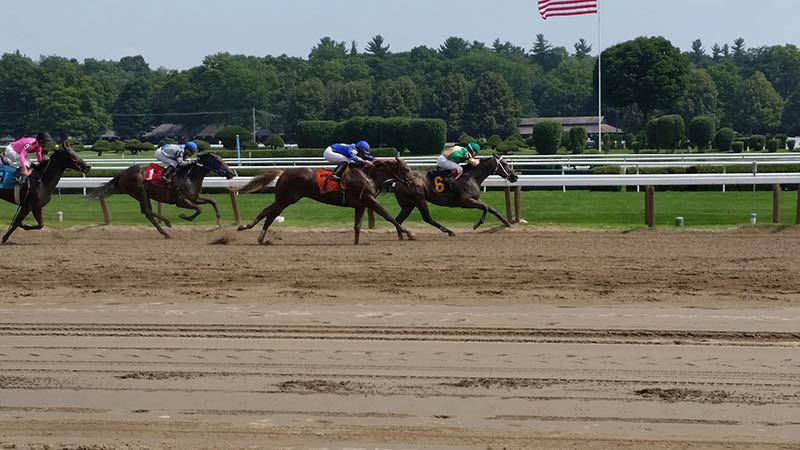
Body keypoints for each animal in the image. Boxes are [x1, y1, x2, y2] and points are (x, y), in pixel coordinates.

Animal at [89, 153, 238, 239]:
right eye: (219, 162)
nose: (231, 173)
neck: (190, 177)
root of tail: (123, 173)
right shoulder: (180, 201)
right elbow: (199, 209)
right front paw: (184, 216)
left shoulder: (194, 198)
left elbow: (212, 201)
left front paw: (219, 221)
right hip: (140, 191)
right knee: (147, 211)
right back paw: (167, 224)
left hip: (141, 194)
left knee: (147, 212)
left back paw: (165, 231)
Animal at [231, 156, 418, 244]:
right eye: (406, 169)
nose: (414, 183)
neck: (368, 175)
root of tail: (283, 172)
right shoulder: (370, 200)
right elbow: (389, 216)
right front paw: (409, 233)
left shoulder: (360, 204)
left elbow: (357, 226)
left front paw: (356, 243)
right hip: (286, 199)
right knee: (270, 214)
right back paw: (255, 233)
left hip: (284, 199)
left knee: (267, 212)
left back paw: (252, 232)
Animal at [392, 155, 520, 237]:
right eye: (505, 163)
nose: (514, 176)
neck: (471, 177)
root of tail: (399, 181)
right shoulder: (466, 202)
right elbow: (486, 207)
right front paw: (477, 224)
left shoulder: (473, 200)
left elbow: (491, 208)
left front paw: (507, 223)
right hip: (419, 199)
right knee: (427, 218)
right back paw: (449, 231)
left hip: (408, 204)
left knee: (398, 220)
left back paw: (402, 236)